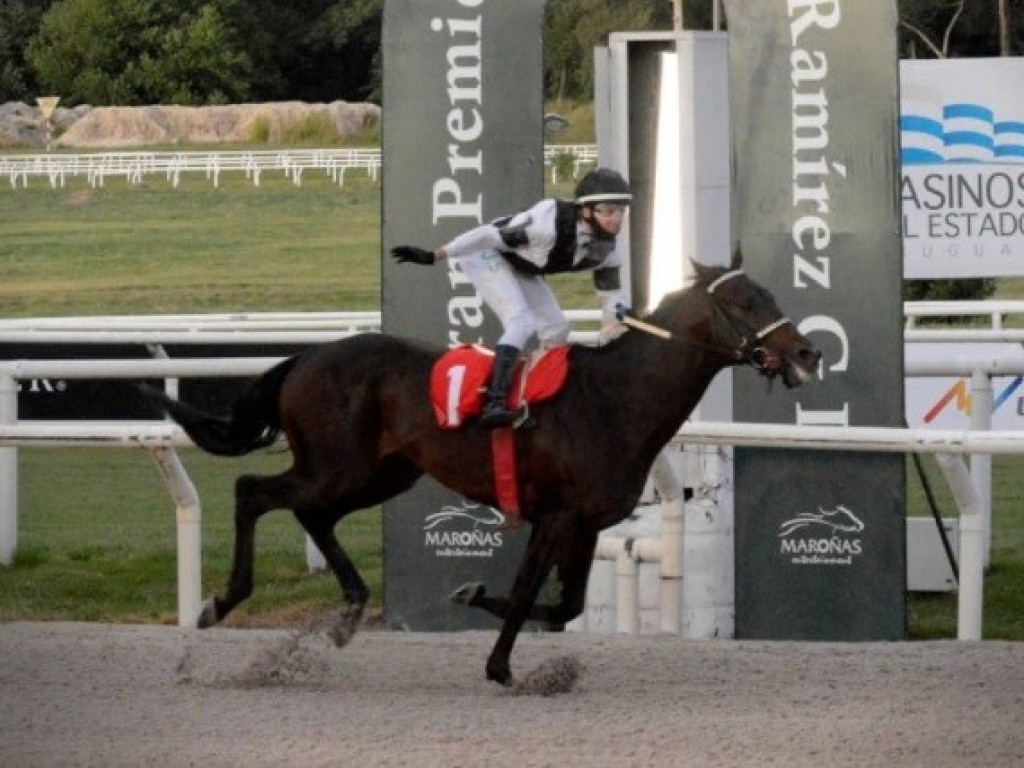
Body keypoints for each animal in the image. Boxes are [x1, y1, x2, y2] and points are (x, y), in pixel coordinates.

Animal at [144, 252, 819, 684]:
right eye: (746, 301)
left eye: (769, 294)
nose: (807, 352)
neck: (615, 399)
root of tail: (306, 358)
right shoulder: (559, 515)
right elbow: (526, 595)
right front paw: (499, 666)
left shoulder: (584, 523)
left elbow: (564, 605)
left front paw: (478, 605)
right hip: (339, 467)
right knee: (253, 491)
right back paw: (221, 602)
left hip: (378, 474)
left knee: (313, 514)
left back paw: (351, 610)